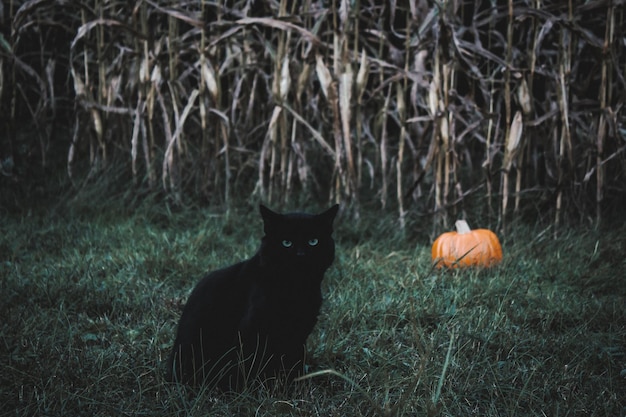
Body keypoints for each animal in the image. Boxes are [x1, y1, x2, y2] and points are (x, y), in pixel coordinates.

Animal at [167, 203, 336, 388]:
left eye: (313, 241)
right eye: (286, 243)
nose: (301, 255)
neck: (297, 290)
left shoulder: (299, 334)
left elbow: (294, 361)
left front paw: (294, 385)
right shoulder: (253, 329)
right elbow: (252, 364)